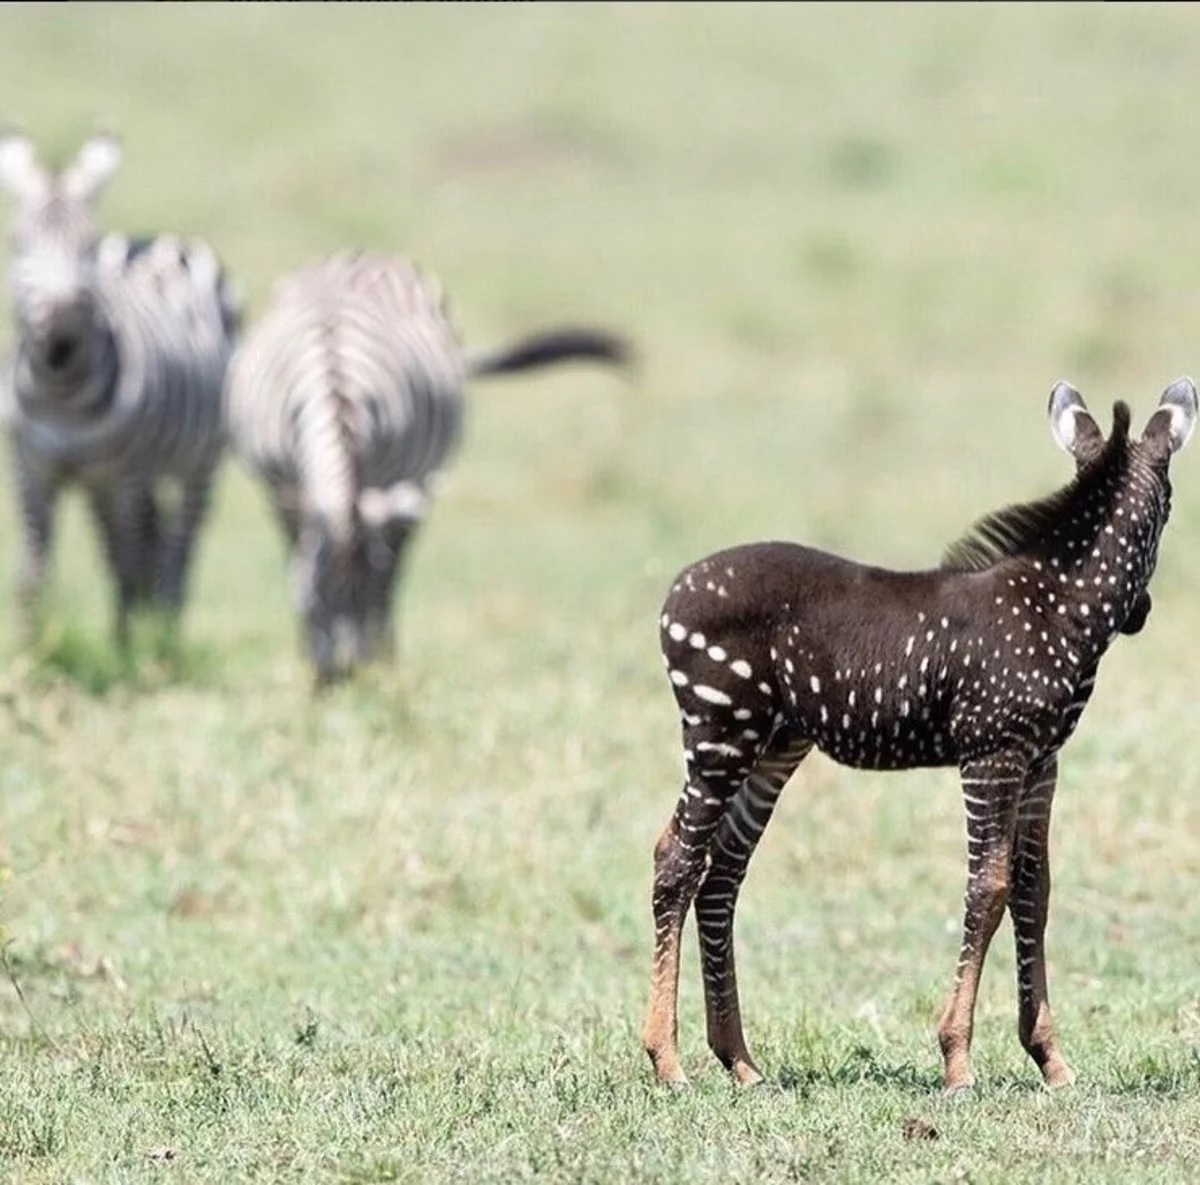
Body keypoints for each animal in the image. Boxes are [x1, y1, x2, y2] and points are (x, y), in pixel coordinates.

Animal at [0, 131, 241, 651]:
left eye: (88, 247)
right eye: (19, 243)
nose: (61, 341)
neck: (62, 395)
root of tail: (157, 239)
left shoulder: (122, 473)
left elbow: (125, 562)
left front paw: (126, 651)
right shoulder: (32, 468)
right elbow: (33, 572)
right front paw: (29, 651)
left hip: (198, 460)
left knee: (178, 547)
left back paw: (165, 628)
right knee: (147, 539)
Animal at [223, 249, 630, 686]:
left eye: (368, 600)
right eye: (314, 602)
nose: (348, 676)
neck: (336, 391)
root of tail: (364, 255)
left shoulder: (389, 483)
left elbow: (386, 575)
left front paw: (379, 654)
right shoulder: (281, 486)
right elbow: (295, 558)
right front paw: (307, 653)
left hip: (418, 481)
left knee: (400, 559)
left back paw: (389, 651)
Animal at [642, 378, 1196, 1094]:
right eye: (1170, 511)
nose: (1143, 614)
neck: (1056, 607)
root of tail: (675, 590)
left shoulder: (1043, 760)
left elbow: (1034, 890)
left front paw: (1050, 1059)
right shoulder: (993, 752)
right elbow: (987, 889)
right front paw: (957, 1060)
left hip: (772, 747)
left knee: (721, 874)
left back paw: (740, 1060)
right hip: (719, 732)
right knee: (676, 862)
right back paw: (667, 1060)